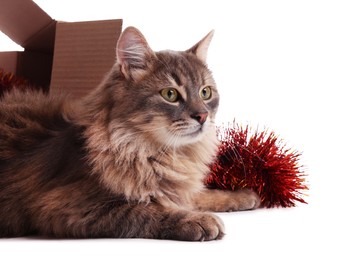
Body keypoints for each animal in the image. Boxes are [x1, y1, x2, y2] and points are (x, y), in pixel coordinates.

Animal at [0, 26, 260, 242]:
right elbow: (145, 211)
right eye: (170, 94)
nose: (203, 116)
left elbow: (198, 195)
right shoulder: (64, 207)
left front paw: (244, 196)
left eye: (206, 92)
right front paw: (198, 220)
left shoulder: (176, 188)